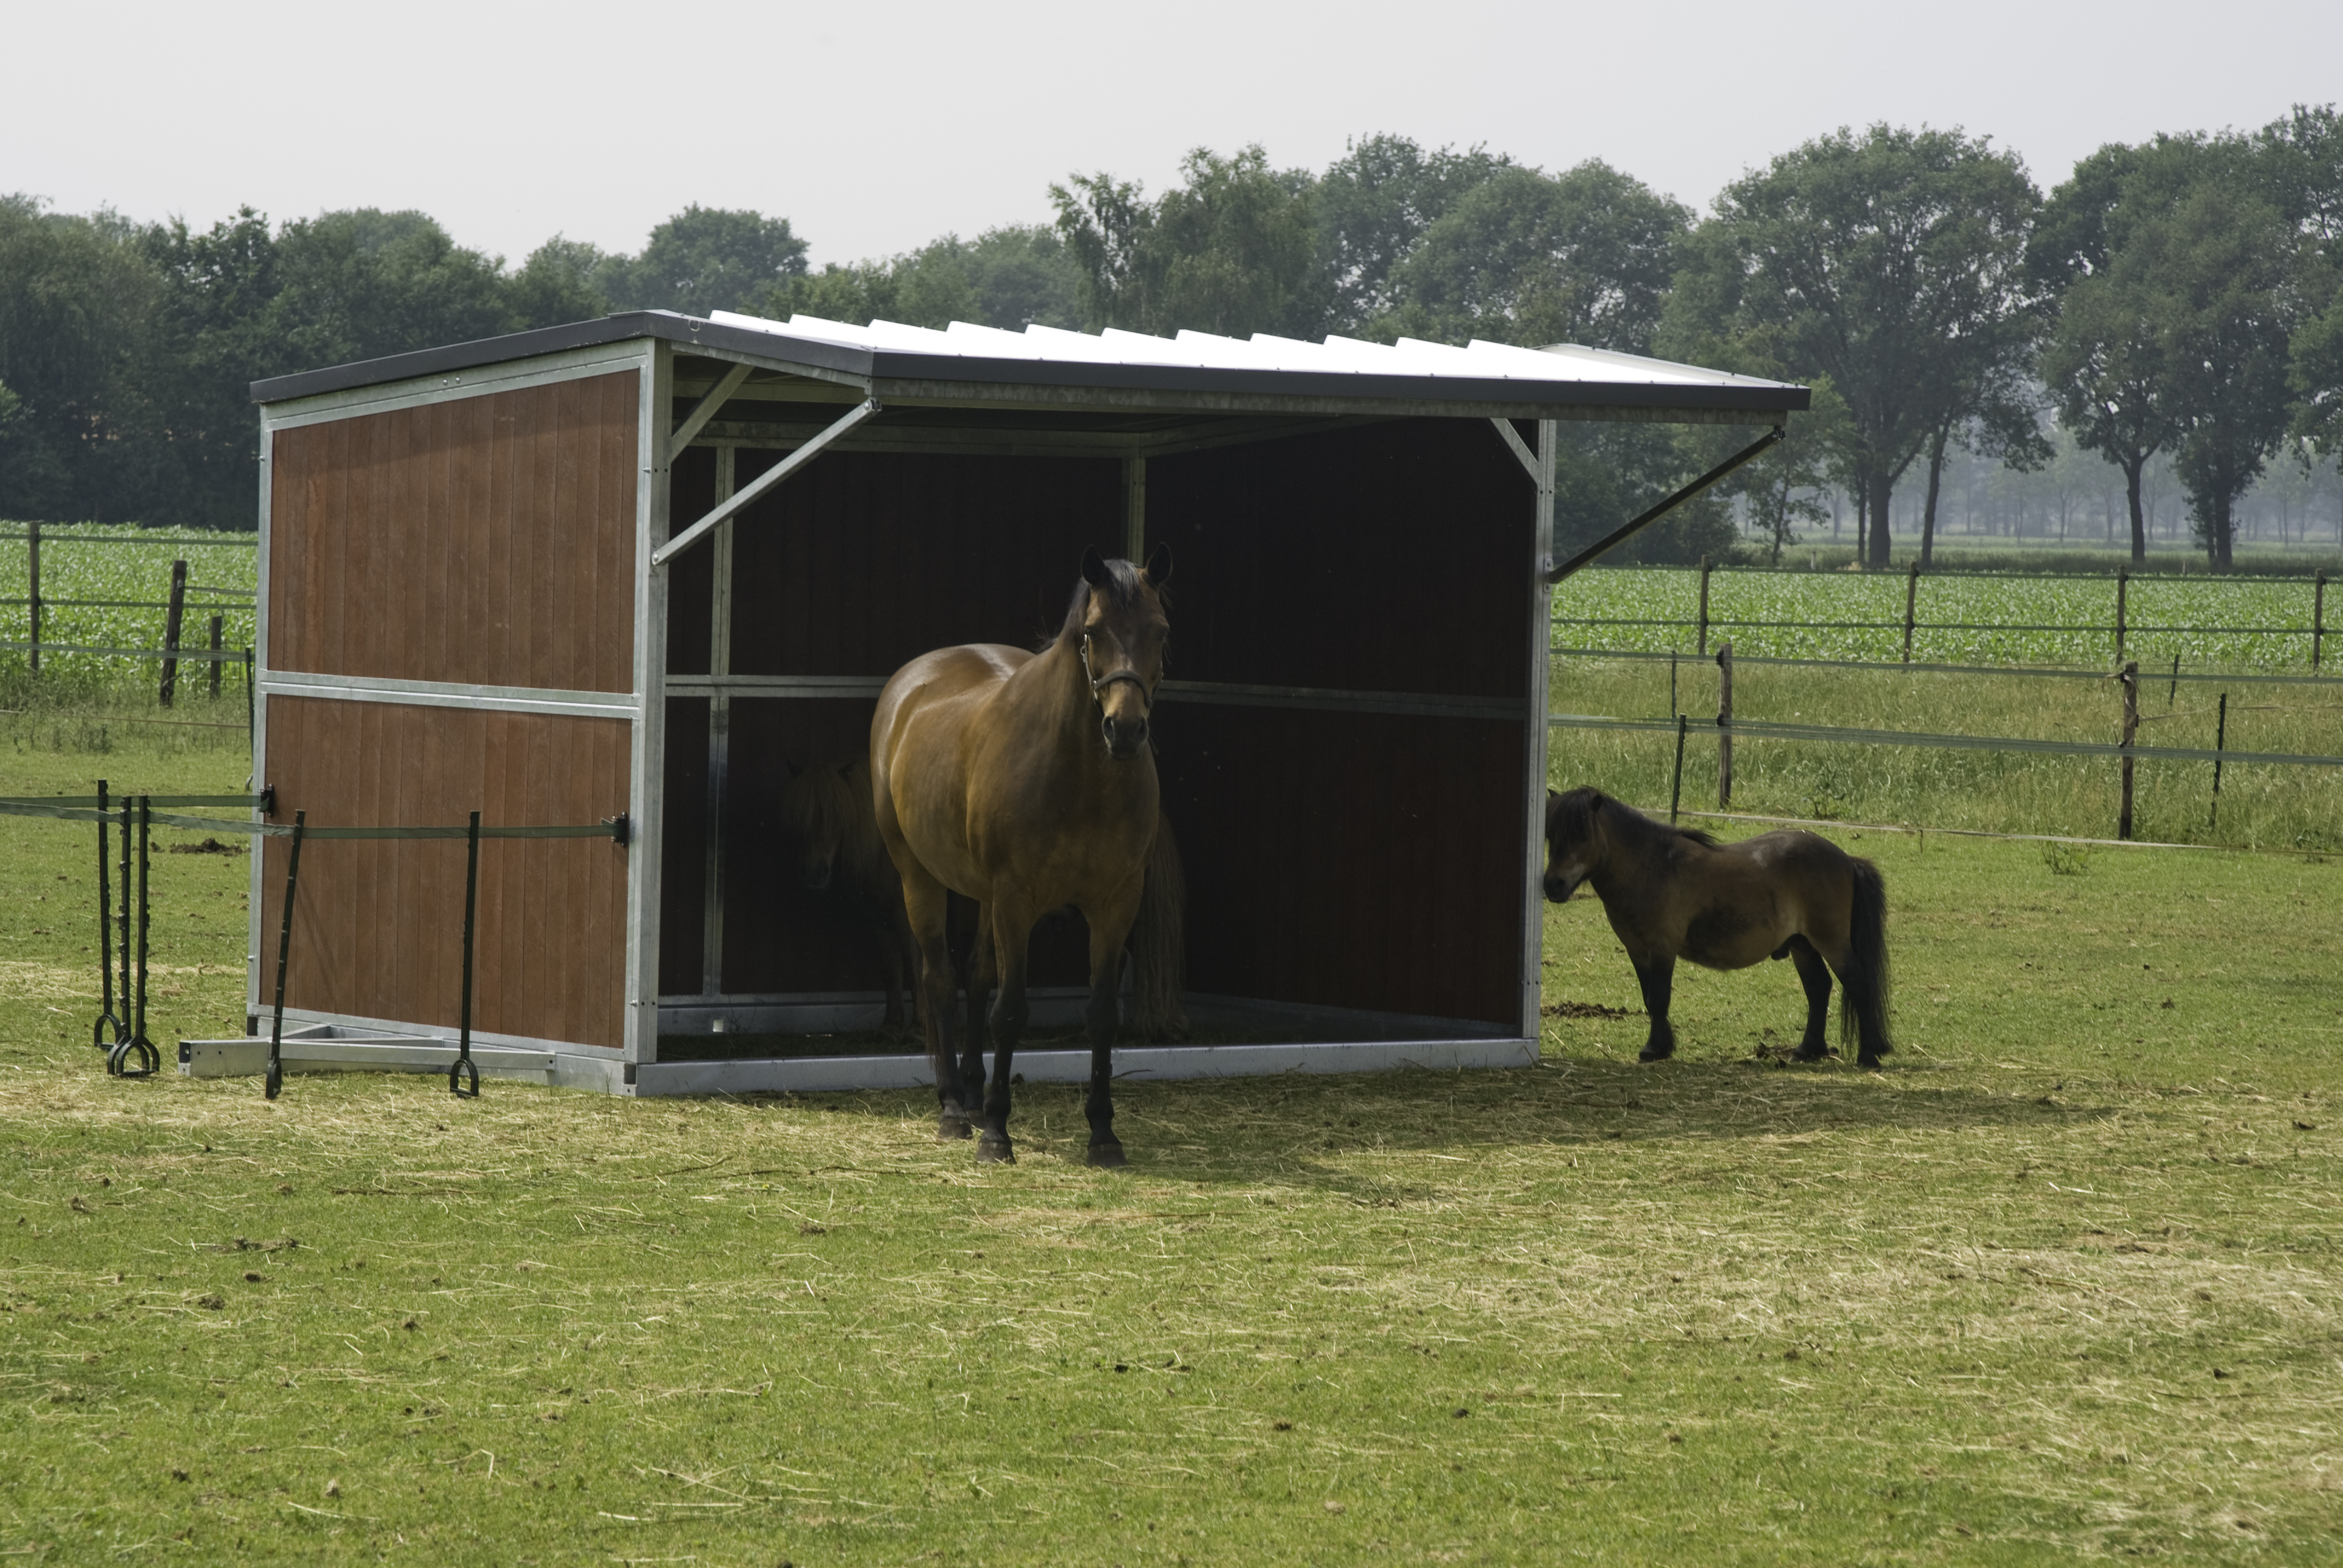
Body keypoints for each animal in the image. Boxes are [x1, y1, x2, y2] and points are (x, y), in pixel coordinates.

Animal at [871, 543, 1172, 1157]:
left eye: (1162, 632)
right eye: (1092, 631)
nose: (1126, 730)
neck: (1081, 775)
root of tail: (909, 685)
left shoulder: (1116, 903)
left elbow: (1100, 1014)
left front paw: (1103, 1134)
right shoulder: (1017, 899)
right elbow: (1009, 1013)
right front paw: (995, 1134)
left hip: (985, 897)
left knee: (979, 976)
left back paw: (971, 1089)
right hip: (920, 876)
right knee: (940, 981)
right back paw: (955, 1109)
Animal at [1546, 787, 1893, 1068]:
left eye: (1583, 835)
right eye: (1550, 836)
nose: (1553, 885)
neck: (1651, 867)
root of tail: (1846, 859)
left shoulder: (1662, 947)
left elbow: (1659, 997)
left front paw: (1655, 1050)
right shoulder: (1637, 950)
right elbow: (1649, 998)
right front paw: (1659, 1047)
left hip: (1831, 942)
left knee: (1858, 984)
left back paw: (1868, 1057)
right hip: (1802, 945)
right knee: (1819, 988)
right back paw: (1808, 1051)